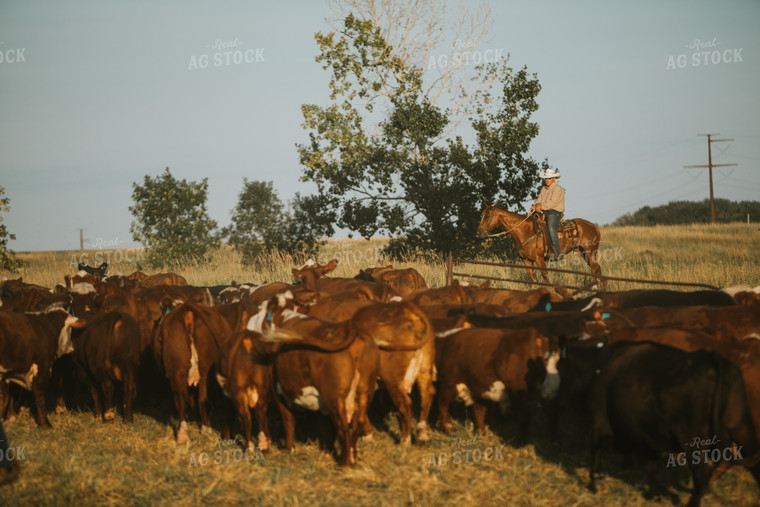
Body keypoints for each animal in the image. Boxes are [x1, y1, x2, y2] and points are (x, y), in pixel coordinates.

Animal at [476, 203, 604, 290]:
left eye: (488, 216)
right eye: (481, 215)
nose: (479, 232)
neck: (525, 231)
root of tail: (594, 226)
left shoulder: (539, 259)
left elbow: (545, 276)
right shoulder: (526, 260)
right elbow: (531, 278)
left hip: (590, 252)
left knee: (594, 268)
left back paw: (594, 288)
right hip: (583, 253)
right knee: (597, 268)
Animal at [588, 342, 760, 507]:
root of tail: (711, 358)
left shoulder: (600, 419)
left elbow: (596, 449)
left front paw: (596, 483)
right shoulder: (649, 436)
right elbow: (651, 466)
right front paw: (655, 496)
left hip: (692, 438)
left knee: (701, 472)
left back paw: (692, 504)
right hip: (741, 426)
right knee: (753, 458)